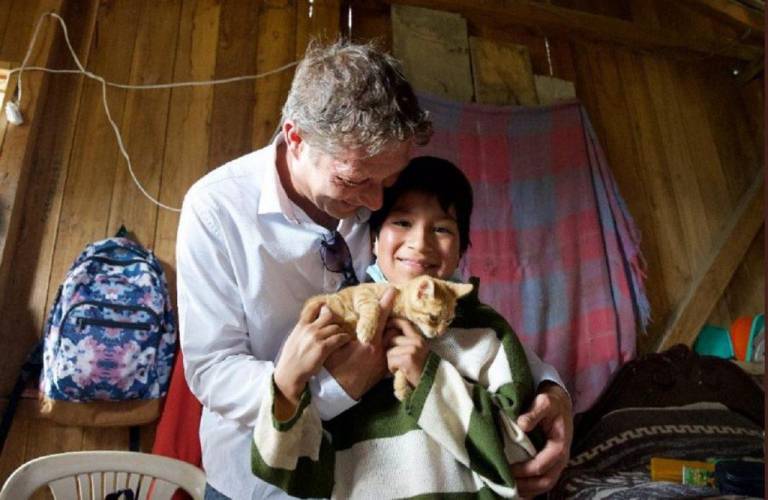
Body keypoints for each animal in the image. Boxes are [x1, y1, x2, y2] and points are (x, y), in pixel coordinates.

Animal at [302, 276, 472, 400]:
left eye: (449, 321)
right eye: (433, 318)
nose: (441, 333)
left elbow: (402, 367)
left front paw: (402, 388)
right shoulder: (364, 290)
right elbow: (373, 306)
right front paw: (366, 329)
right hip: (325, 303)